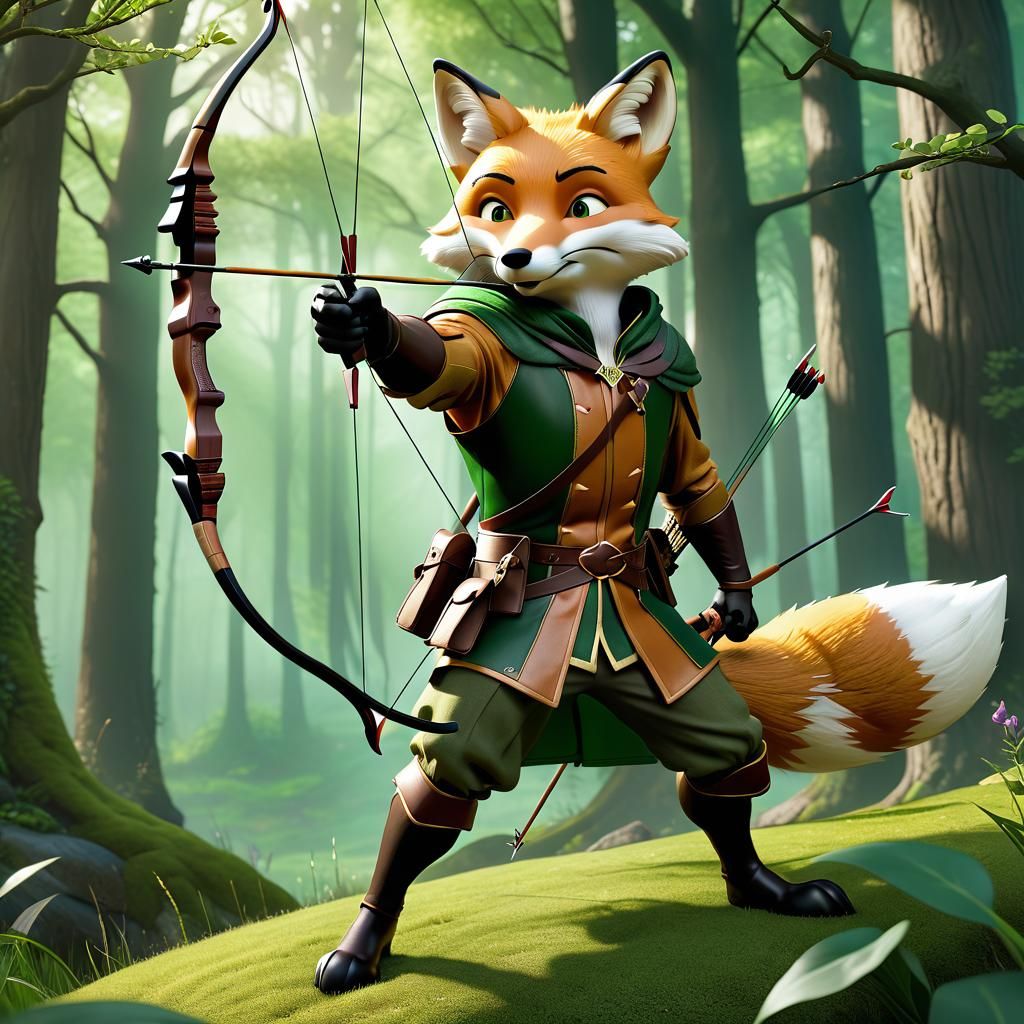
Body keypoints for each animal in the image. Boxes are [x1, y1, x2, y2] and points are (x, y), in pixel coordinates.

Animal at [308, 50, 1008, 995]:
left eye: (583, 205)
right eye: (493, 209)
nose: (516, 257)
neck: (599, 340)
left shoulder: (675, 384)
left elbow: (697, 487)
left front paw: (737, 608)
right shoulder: (474, 354)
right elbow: (442, 354)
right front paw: (369, 325)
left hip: (669, 668)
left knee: (726, 756)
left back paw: (760, 885)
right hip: (497, 664)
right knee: (442, 781)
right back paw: (362, 943)